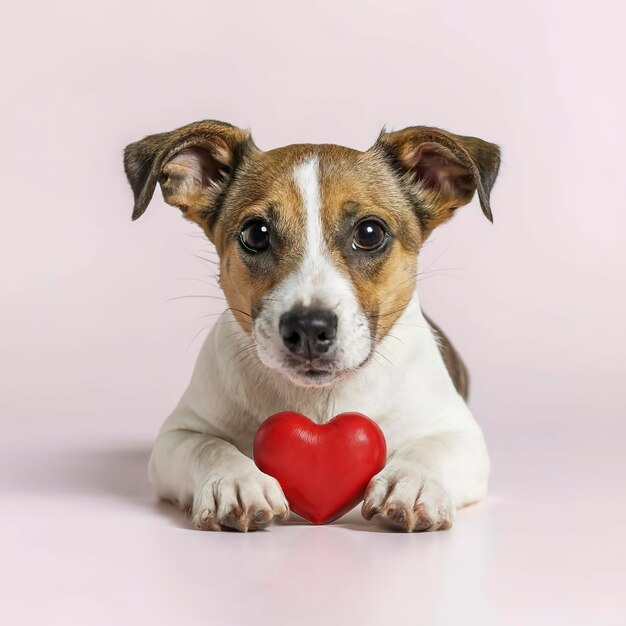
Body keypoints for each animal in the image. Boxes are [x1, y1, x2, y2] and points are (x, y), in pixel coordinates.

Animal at [124, 120, 500, 532]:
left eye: (370, 233)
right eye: (256, 234)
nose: (308, 328)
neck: (319, 400)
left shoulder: (462, 434)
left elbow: (432, 446)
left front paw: (412, 481)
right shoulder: (176, 436)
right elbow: (209, 445)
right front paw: (237, 481)